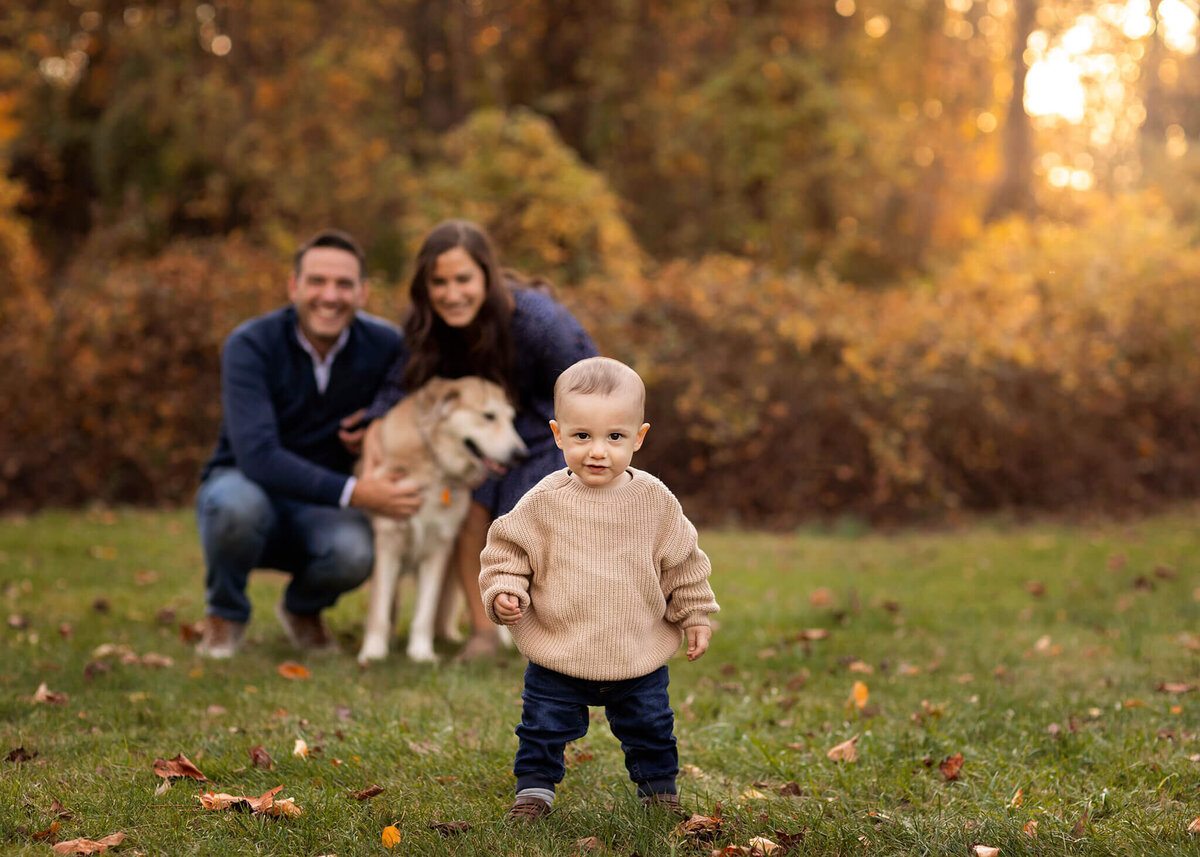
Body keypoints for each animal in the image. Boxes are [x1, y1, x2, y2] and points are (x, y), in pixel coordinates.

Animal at [352, 374, 528, 662]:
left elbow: (426, 608)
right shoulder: (388, 541)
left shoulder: (438, 546)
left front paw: (421, 653)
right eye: (488, 416)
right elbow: (380, 608)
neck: (435, 465)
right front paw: (374, 652)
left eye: (511, 419)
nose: (521, 455)